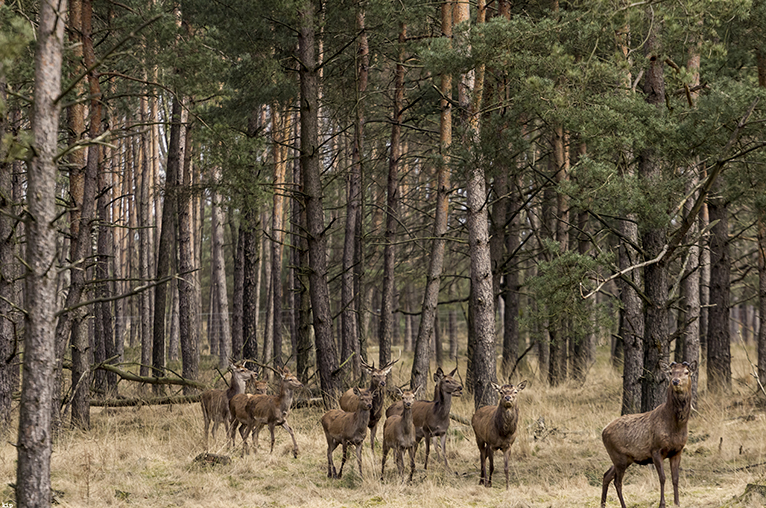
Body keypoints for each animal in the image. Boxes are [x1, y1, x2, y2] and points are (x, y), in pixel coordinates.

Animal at [604, 362, 700, 508]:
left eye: (686, 372)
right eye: (670, 372)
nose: (675, 381)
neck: (676, 427)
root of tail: (603, 431)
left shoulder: (678, 450)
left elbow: (675, 478)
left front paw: (677, 503)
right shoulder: (656, 450)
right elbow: (662, 478)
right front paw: (662, 504)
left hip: (624, 459)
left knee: (606, 475)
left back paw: (602, 504)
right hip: (618, 456)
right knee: (617, 482)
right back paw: (623, 505)